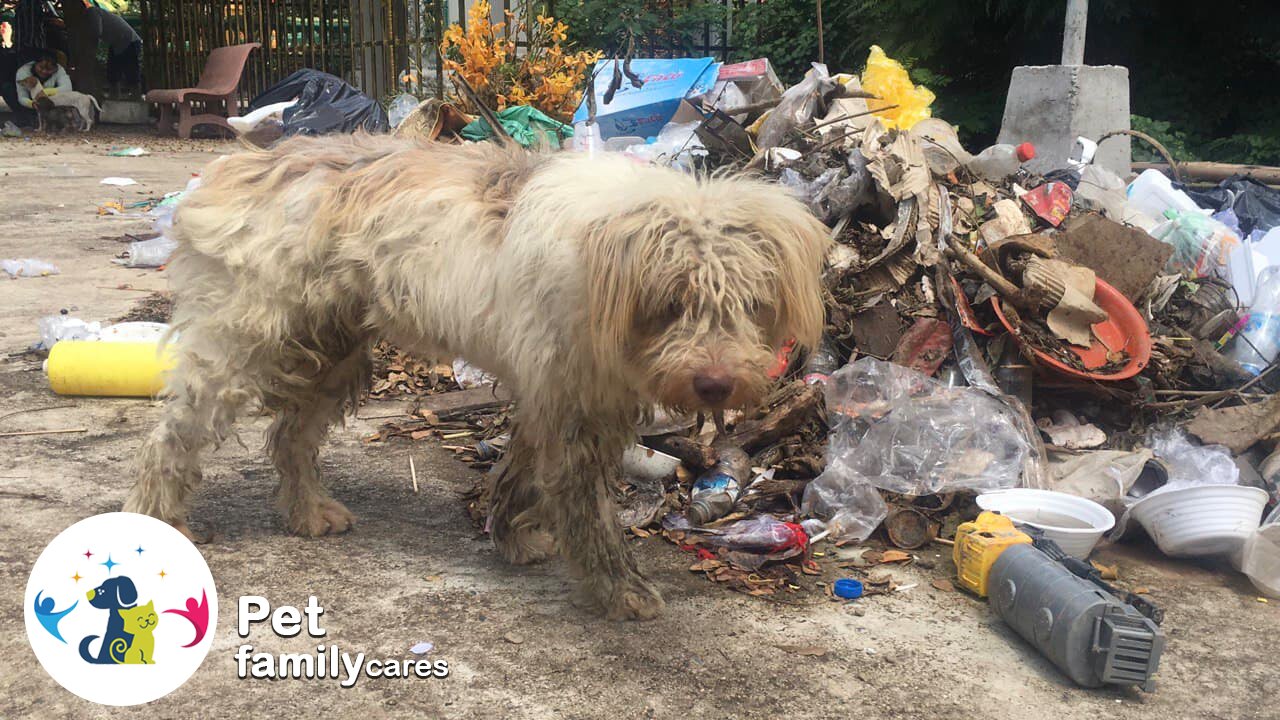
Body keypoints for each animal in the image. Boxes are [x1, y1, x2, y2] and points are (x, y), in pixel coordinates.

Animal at [127, 134, 829, 617]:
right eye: (674, 301)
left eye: (751, 302)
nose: (714, 385)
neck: (601, 266)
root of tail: (244, 165)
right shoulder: (571, 401)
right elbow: (587, 505)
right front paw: (618, 587)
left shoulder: (563, 394)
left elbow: (522, 471)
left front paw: (513, 534)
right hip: (243, 345)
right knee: (172, 437)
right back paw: (161, 520)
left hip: (334, 352)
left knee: (291, 437)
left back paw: (307, 511)